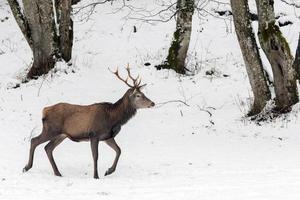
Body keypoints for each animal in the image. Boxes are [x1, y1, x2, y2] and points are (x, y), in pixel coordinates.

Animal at [22, 66, 155, 179]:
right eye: (138, 95)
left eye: (143, 93)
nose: (152, 103)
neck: (113, 118)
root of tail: (44, 111)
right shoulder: (94, 134)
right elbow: (96, 156)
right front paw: (96, 176)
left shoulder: (107, 136)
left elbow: (119, 150)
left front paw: (108, 171)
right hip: (50, 129)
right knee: (34, 141)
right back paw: (27, 167)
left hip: (61, 135)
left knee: (48, 148)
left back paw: (57, 173)